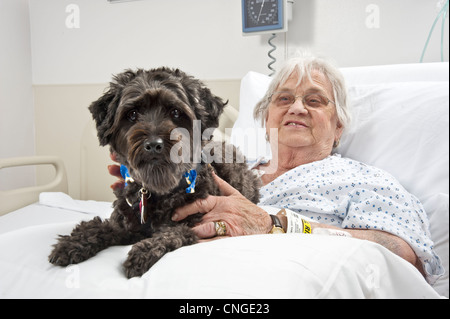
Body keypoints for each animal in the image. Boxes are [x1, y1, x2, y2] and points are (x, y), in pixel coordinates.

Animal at [48, 67, 260, 278]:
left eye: (176, 112)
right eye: (132, 114)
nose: (153, 144)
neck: (156, 190)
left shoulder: (194, 224)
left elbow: (171, 234)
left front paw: (144, 251)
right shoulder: (125, 223)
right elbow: (100, 225)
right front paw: (71, 243)